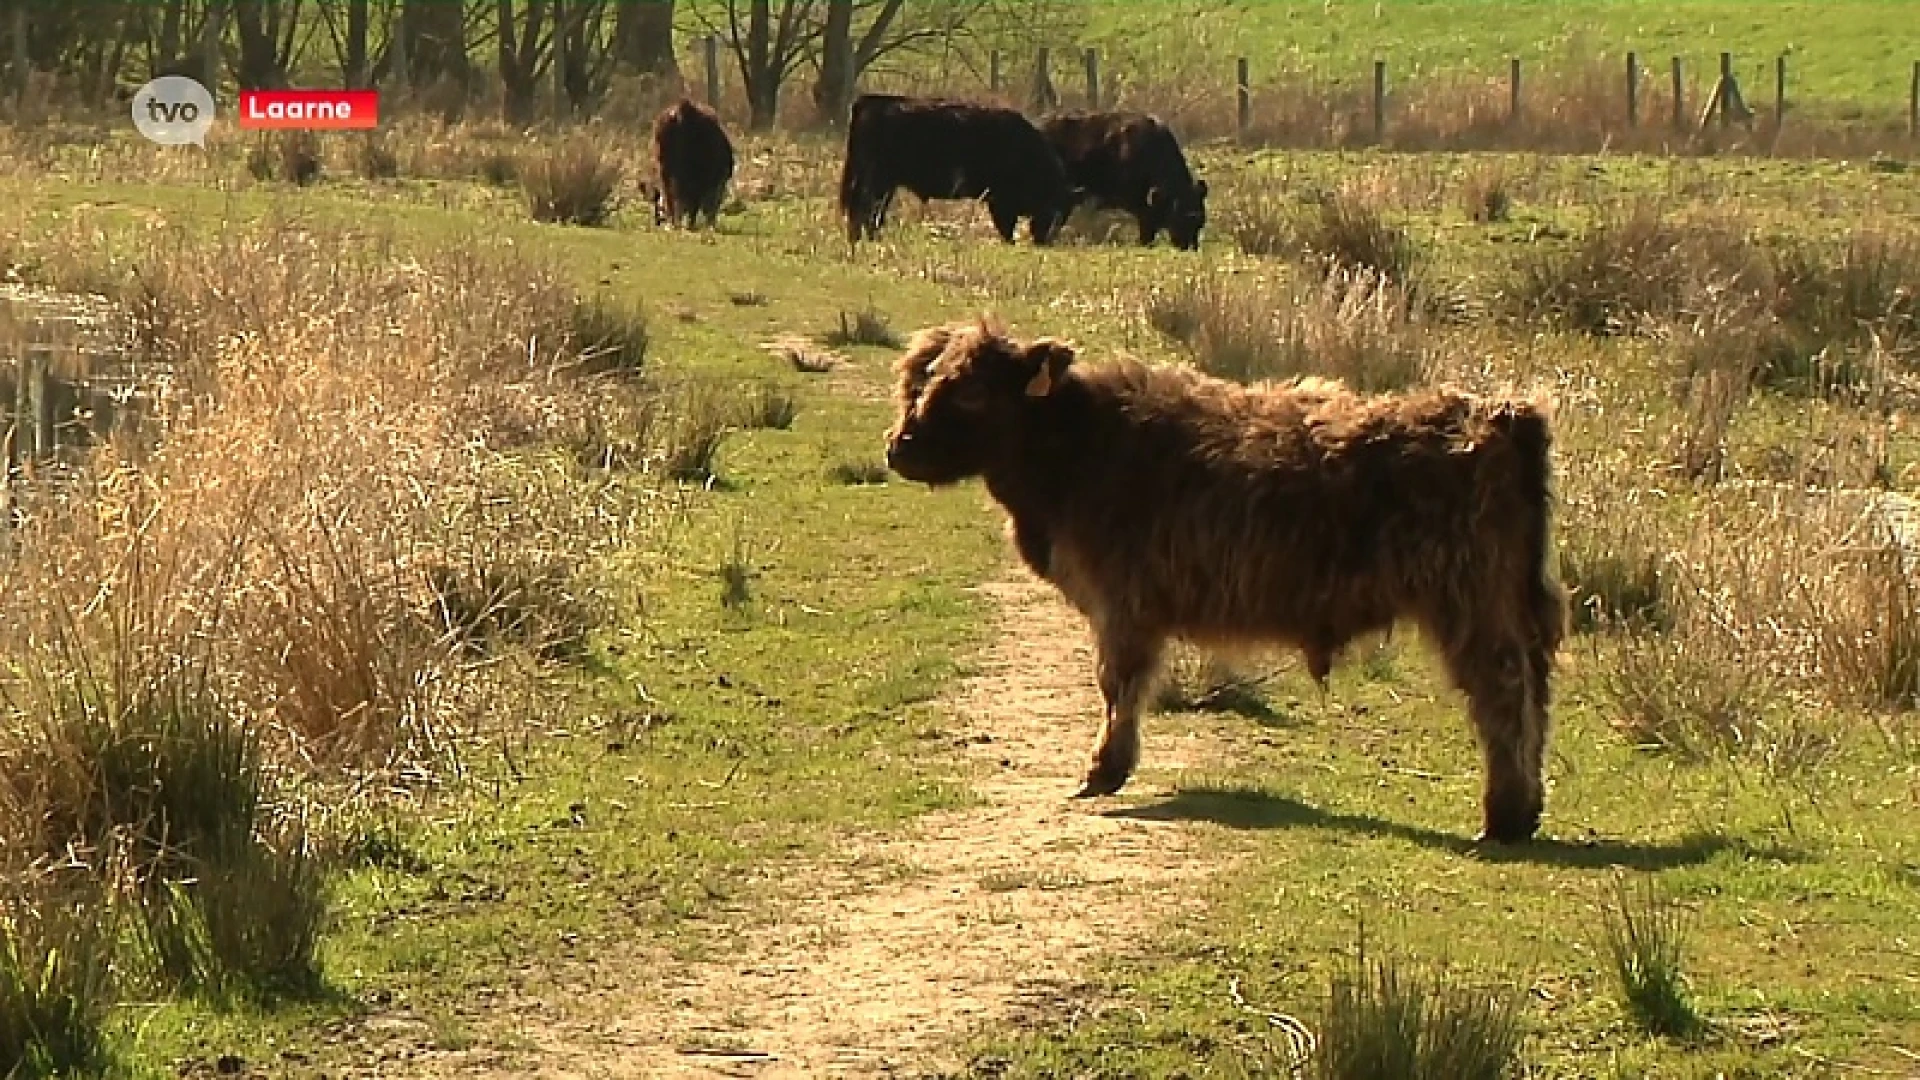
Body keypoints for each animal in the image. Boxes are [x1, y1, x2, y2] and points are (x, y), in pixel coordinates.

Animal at [840, 91, 1082, 244]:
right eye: (1057, 209)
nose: (1046, 240)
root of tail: (869, 101)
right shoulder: (1001, 201)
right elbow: (1006, 227)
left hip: (882, 183)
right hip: (876, 180)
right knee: (865, 210)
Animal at [883, 319, 1574, 841]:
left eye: (970, 393)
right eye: (917, 382)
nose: (899, 447)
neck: (1078, 448)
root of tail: (1501, 415)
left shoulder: (1123, 604)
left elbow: (1117, 683)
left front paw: (1104, 770)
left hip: (1471, 602)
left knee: (1502, 690)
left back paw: (1504, 816)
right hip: (1518, 601)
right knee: (1535, 689)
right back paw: (1526, 808)